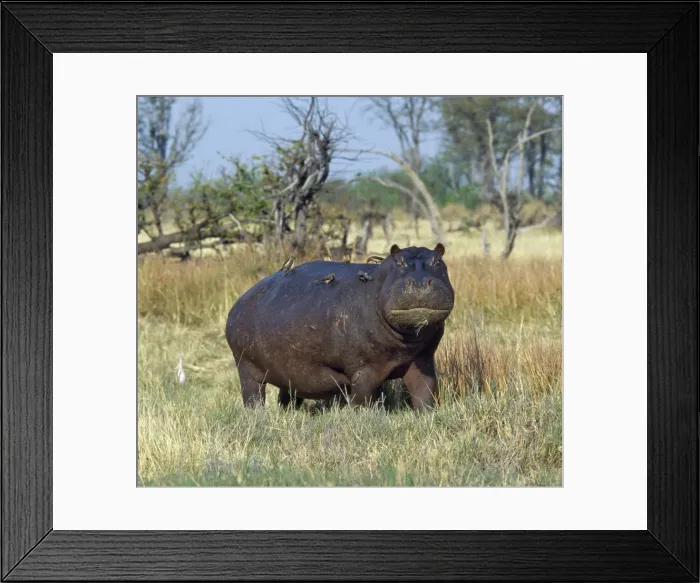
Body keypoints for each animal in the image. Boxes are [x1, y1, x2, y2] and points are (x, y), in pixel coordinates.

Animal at [225, 243, 454, 411]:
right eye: (398, 261)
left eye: (438, 261)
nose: (420, 282)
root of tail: (240, 301)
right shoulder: (364, 369)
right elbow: (362, 399)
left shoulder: (422, 360)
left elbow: (425, 391)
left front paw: (427, 415)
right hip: (246, 368)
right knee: (253, 396)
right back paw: (256, 415)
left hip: (285, 372)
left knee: (286, 395)